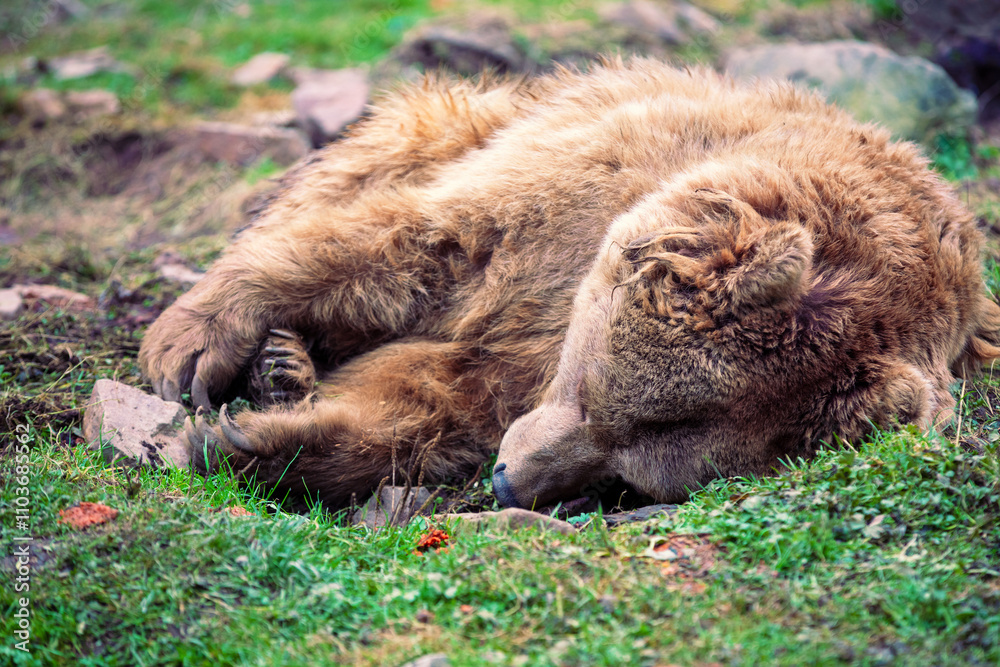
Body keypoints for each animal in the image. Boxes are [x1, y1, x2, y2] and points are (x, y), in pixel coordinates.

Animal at [138, 57, 1000, 511]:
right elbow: (412, 246)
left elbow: (429, 403)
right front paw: (193, 348)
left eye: (629, 476)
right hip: (474, 115)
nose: (509, 481)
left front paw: (259, 442)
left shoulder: (515, 359)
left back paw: (286, 371)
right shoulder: (559, 211)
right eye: (594, 395)